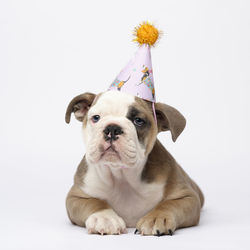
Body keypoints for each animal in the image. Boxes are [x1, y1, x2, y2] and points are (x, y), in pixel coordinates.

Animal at [65, 91, 204, 235]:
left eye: (138, 121)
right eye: (96, 118)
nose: (112, 128)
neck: (121, 175)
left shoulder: (188, 196)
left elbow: (169, 204)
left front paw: (156, 217)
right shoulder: (76, 196)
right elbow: (94, 202)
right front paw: (104, 217)